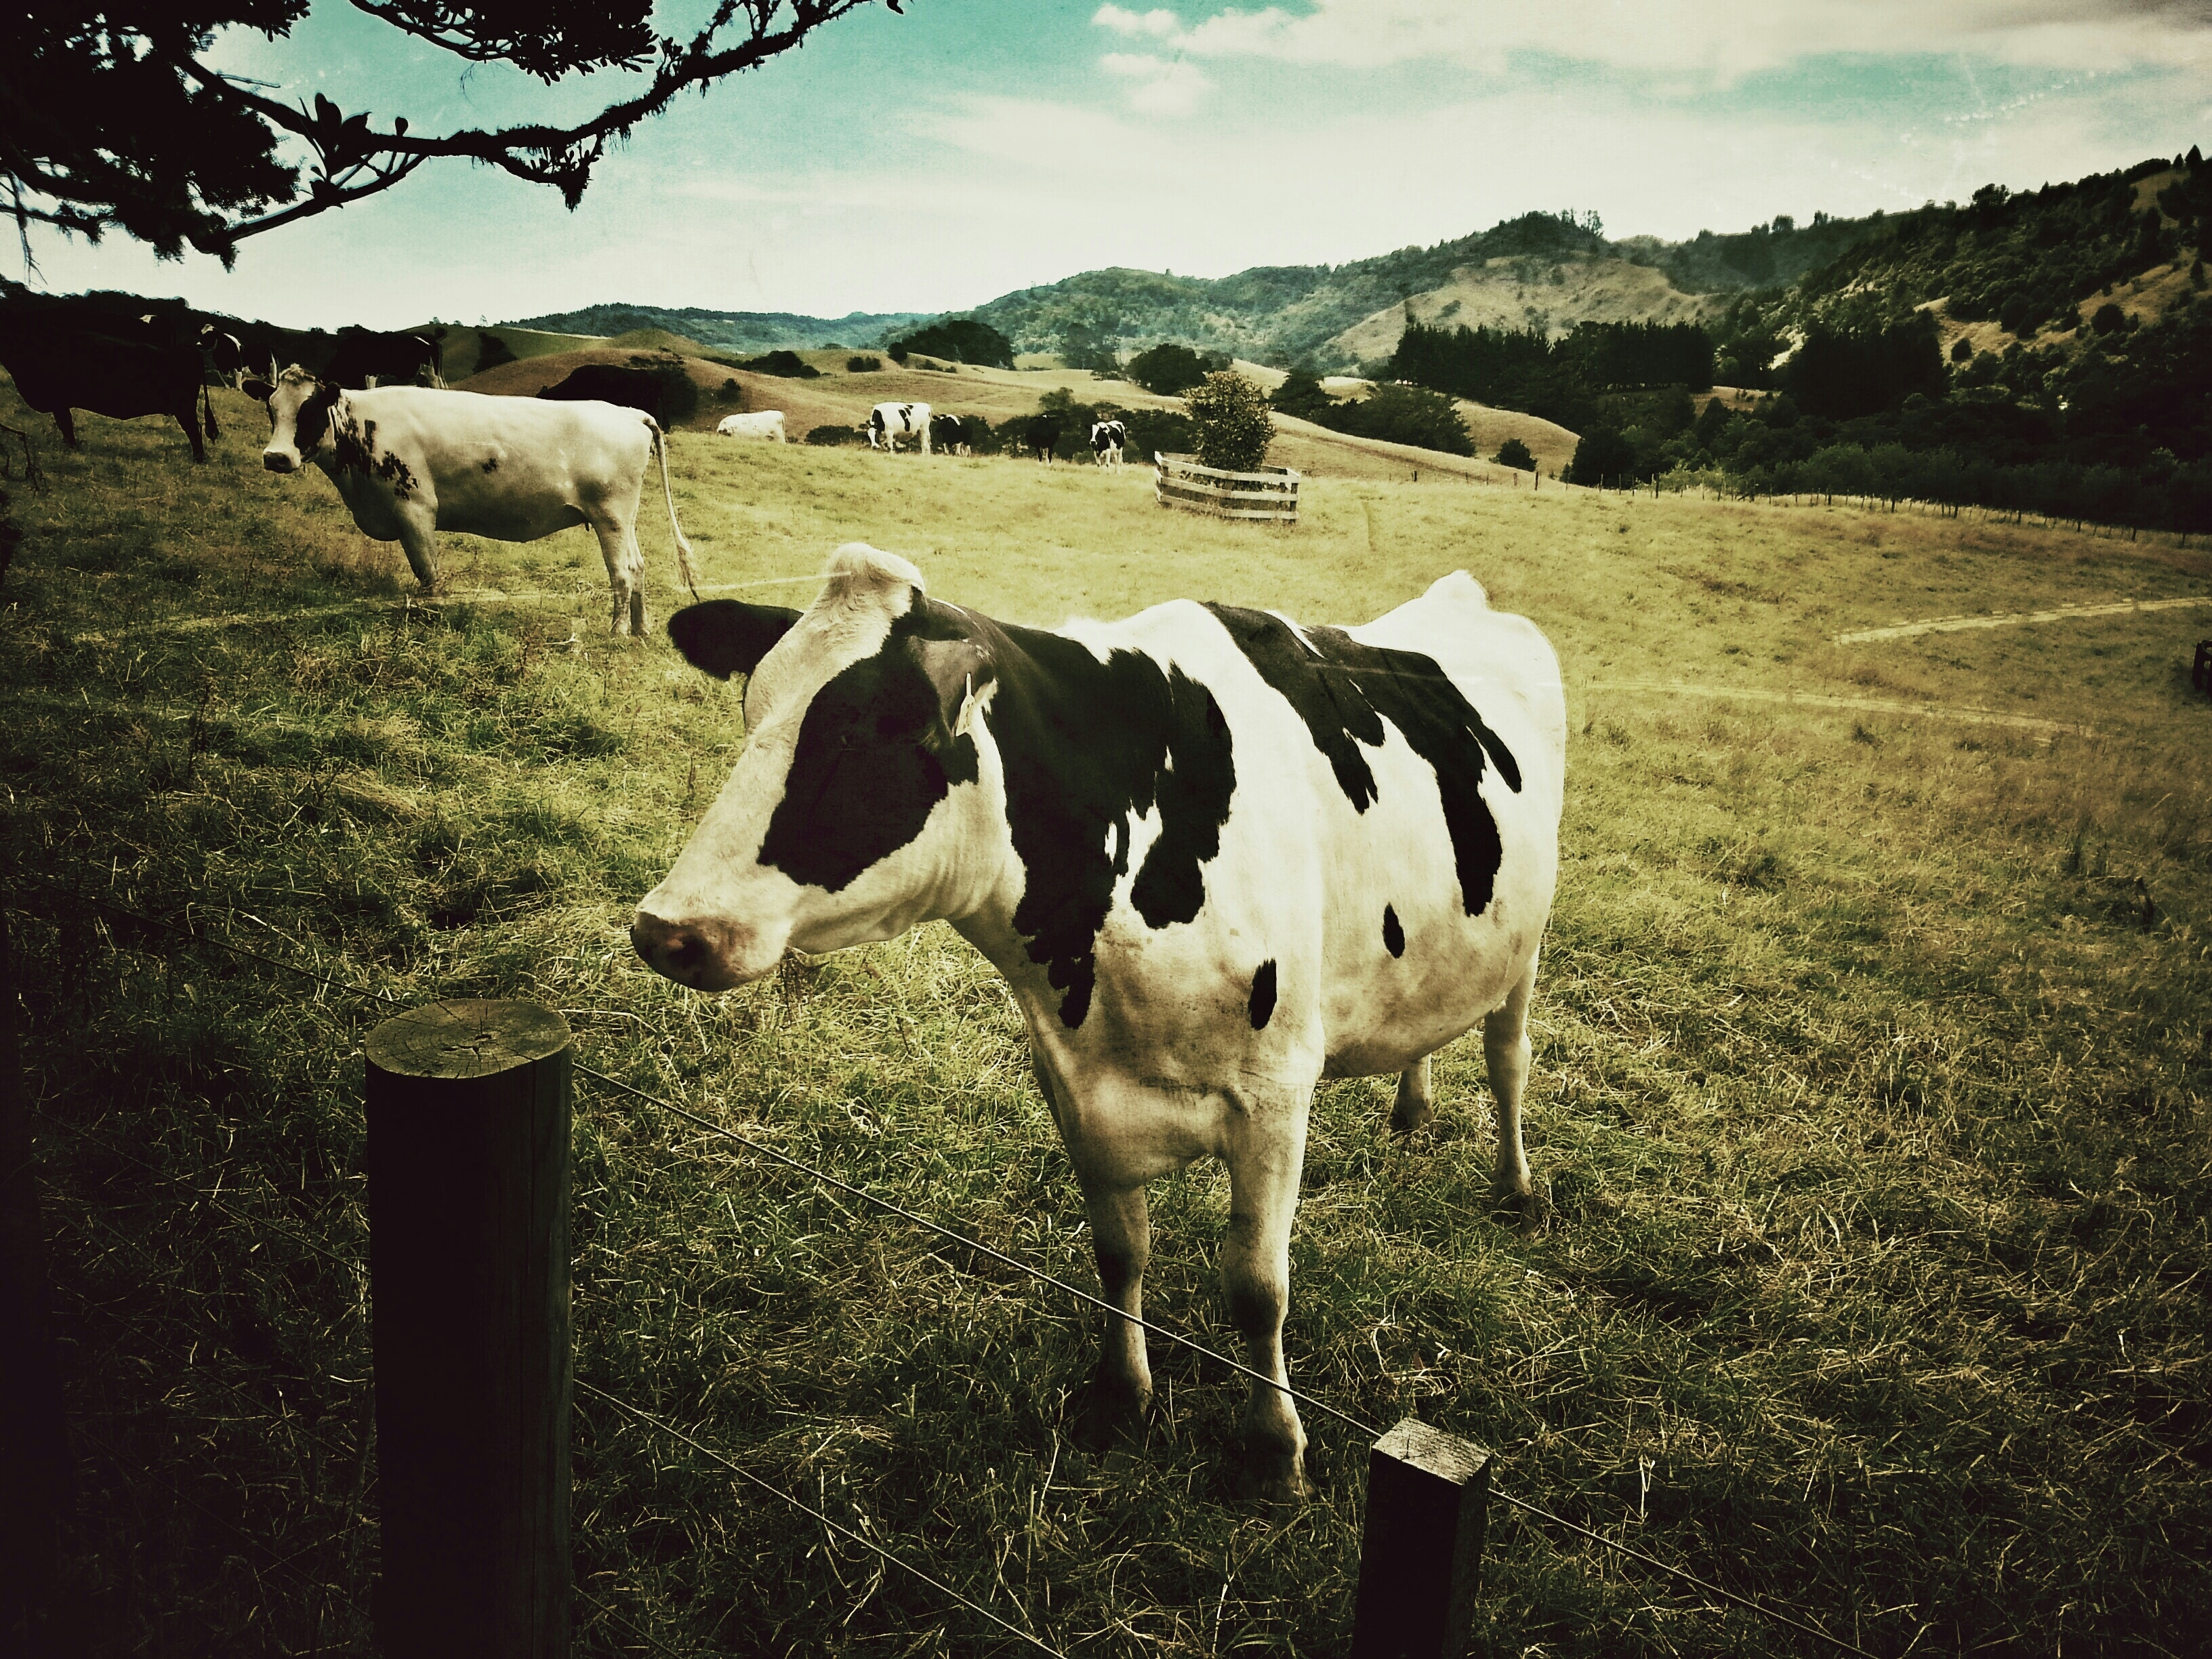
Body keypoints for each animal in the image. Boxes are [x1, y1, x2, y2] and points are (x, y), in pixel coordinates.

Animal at [0, 302, 218, 462]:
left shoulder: (58, 399)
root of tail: (187, 349)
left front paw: (72, 448)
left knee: (195, 429)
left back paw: (198, 460)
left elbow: (66, 425)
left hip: (184, 408)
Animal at [245, 365, 697, 636]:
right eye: (271, 409)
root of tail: (629, 412)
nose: (276, 457)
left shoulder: (415, 509)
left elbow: (428, 574)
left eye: (309, 411)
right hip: (622, 519)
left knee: (622, 572)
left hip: (610, 516)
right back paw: (640, 630)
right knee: (638, 567)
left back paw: (617, 632)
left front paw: (431, 619)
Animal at [630, 544, 1566, 1502]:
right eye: (752, 709)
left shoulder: (1275, 1095)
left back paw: (1516, 1187)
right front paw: (1122, 1394)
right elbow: (1119, 1253)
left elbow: (1257, 1289)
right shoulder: (1071, 1080)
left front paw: (1274, 1450)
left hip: (1526, 947)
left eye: (864, 735)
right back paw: (1412, 1109)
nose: (666, 929)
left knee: (1509, 1057)